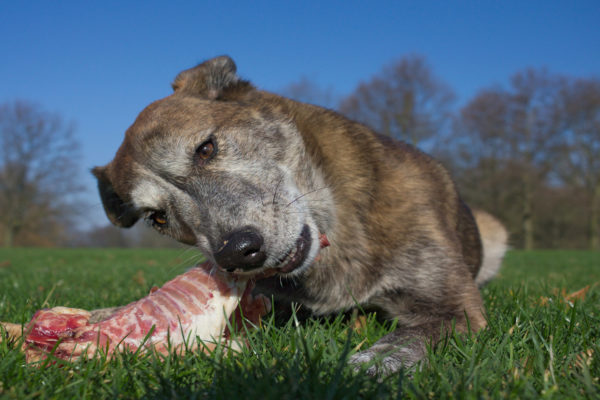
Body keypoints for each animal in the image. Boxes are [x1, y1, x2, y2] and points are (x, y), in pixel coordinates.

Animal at [92, 55, 506, 376]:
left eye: (206, 148)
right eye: (157, 217)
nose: (237, 253)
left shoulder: (453, 308)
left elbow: (404, 339)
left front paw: (363, 370)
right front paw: (95, 321)